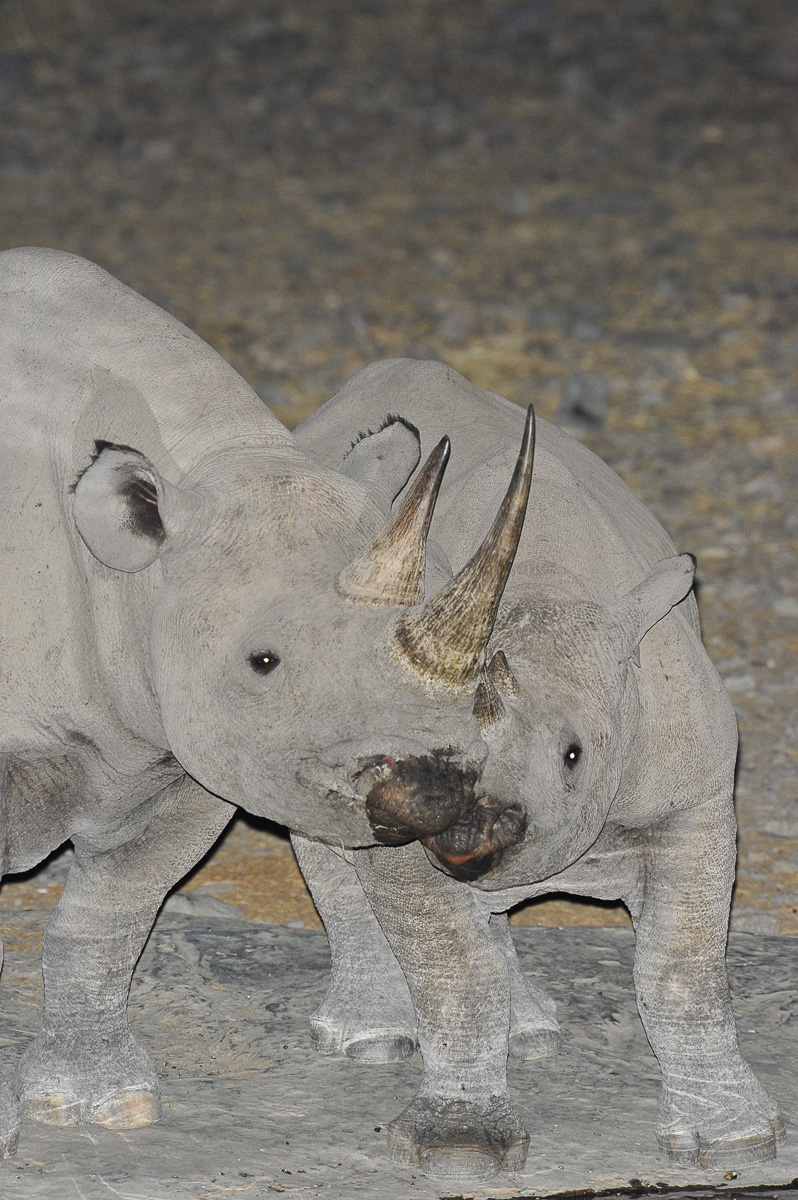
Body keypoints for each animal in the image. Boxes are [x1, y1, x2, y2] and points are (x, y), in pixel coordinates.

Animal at [290, 357, 784, 1181]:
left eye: (573, 755)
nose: (463, 832)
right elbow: (452, 968)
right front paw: (460, 1148)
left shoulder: (696, 796)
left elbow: (681, 971)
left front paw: (736, 1140)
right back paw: (372, 1038)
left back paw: (529, 1030)